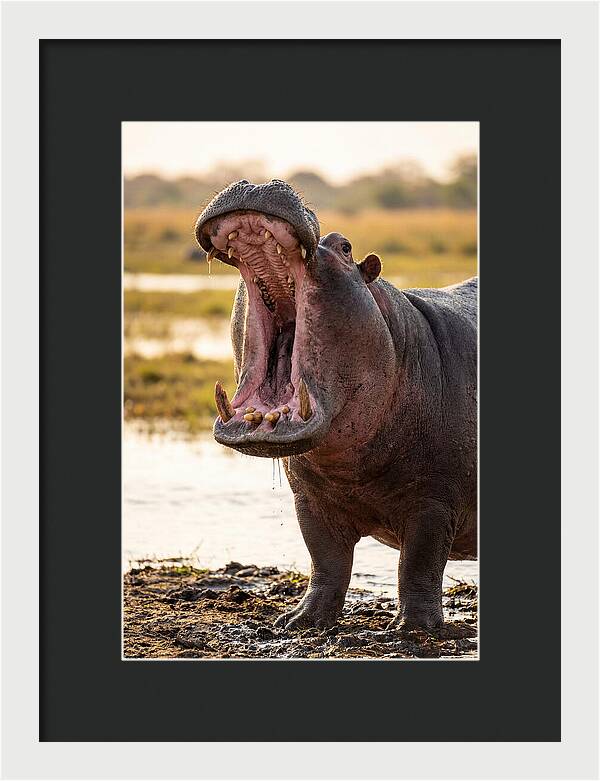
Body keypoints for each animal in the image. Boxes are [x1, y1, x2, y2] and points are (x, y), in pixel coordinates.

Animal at [195, 180, 477, 630]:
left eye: (345, 247)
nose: (258, 183)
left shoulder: (434, 503)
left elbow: (419, 564)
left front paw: (413, 628)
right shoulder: (309, 500)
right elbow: (326, 560)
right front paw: (299, 621)